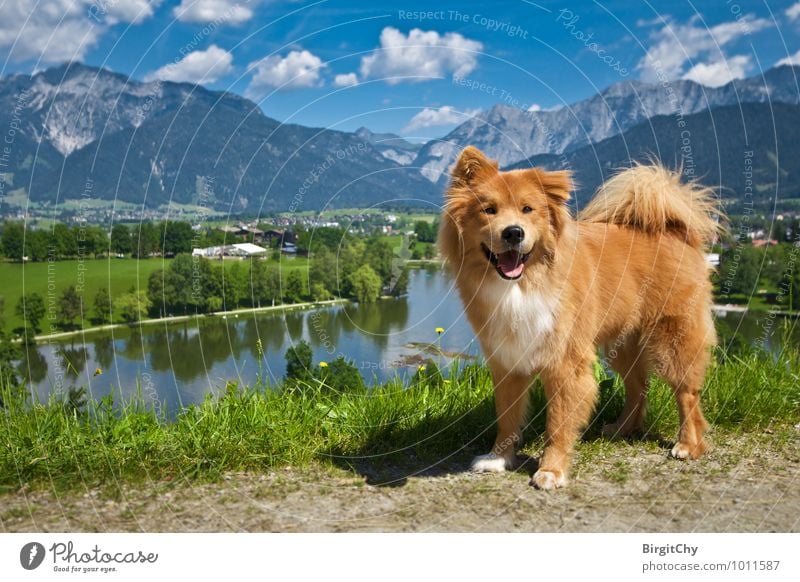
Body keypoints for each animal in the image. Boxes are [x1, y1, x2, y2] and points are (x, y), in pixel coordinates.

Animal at [438, 146, 720, 488]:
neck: (523, 285)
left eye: (528, 209)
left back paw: (688, 444)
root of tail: (673, 229)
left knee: (687, 393)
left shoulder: (565, 363)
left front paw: (551, 469)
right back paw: (622, 428)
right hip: (622, 343)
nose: (513, 232)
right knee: (638, 385)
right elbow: (506, 415)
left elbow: (558, 422)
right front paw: (498, 458)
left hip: (672, 339)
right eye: (489, 210)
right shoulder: (507, 359)